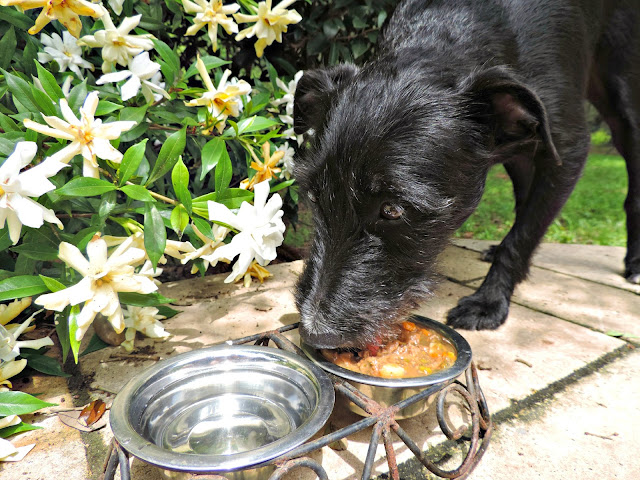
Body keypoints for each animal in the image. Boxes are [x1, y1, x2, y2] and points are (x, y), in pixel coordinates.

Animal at [292, 0, 640, 350]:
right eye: (314, 196)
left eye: (392, 210)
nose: (315, 335)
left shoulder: (568, 151)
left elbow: (524, 234)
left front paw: (489, 301)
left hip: (623, 103)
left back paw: (634, 263)